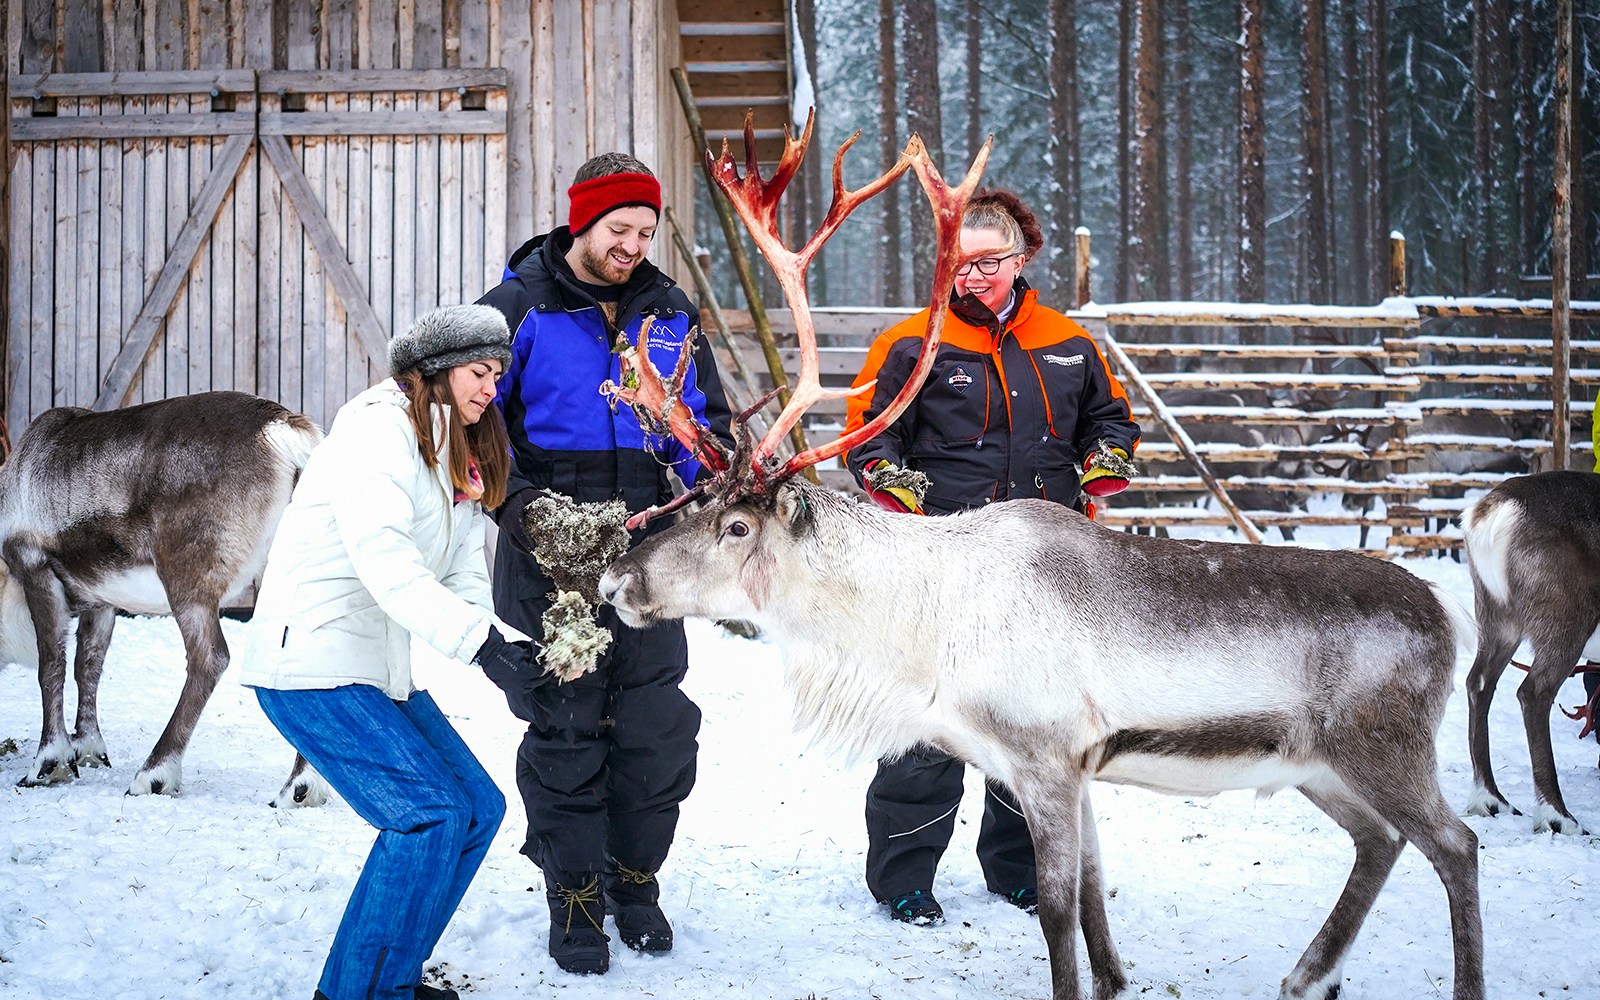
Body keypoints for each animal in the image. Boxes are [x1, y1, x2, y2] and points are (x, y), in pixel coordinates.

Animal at [0, 391, 329, 806]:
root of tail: (285, 430)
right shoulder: (101, 598)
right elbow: (87, 665)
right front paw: (88, 749)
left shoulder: (35, 566)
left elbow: (51, 666)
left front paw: (49, 762)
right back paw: (302, 786)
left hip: (187, 578)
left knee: (210, 658)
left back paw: (154, 773)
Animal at [590, 116, 1485, 1000]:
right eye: (692, 503)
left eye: (737, 528)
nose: (614, 578)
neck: (916, 634)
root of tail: (1450, 617)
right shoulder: (1075, 767)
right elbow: (1091, 894)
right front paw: (1117, 980)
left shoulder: (1045, 757)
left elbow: (1056, 909)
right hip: (1319, 766)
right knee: (1381, 842)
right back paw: (1307, 973)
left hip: (1384, 747)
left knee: (1456, 844)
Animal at [1460, 469, 1600, 835]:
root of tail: (1491, 512)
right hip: (1567, 616)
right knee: (1534, 692)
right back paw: (1558, 817)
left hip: (1496, 616)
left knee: (1478, 683)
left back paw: (1491, 799)